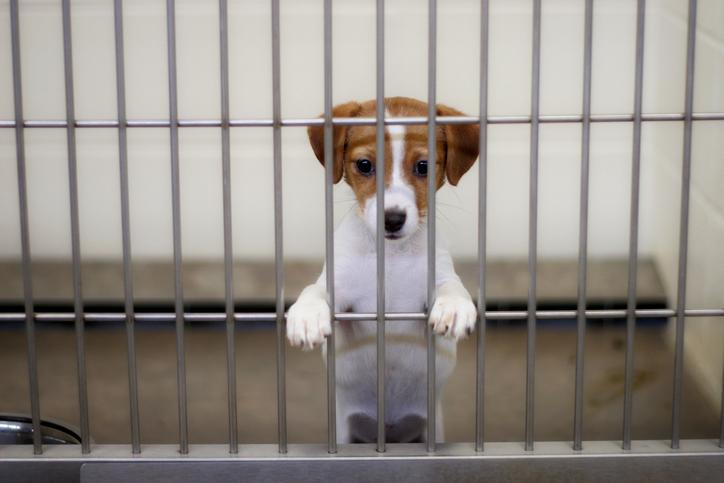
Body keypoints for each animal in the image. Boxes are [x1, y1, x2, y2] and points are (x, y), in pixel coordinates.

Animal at [286, 96, 478, 444]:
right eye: (364, 165)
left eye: (424, 167)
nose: (392, 219)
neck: (391, 256)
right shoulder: (341, 290)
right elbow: (315, 290)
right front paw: (307, 316)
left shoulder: (436, 277)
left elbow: (451, 286)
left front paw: (455, 307)